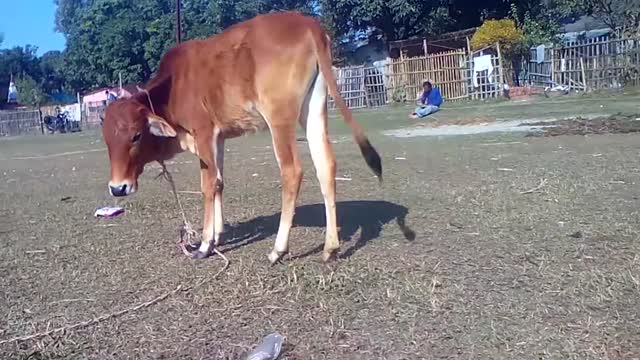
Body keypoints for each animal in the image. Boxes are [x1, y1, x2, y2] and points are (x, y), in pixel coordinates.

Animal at [100, 11, 380, 262]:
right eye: (107, 141)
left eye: (136, 135)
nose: (117, 188)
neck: (172, 89)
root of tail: (308, 23)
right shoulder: (219, 138)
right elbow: (219, 182)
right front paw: (218, 235)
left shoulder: (203, 133)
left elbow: (208, 185)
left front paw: (205, 244)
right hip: (313, 109)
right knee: (326, 166)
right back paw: (330, 247)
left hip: (278, 117)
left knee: (292, 171)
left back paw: (278, 249)